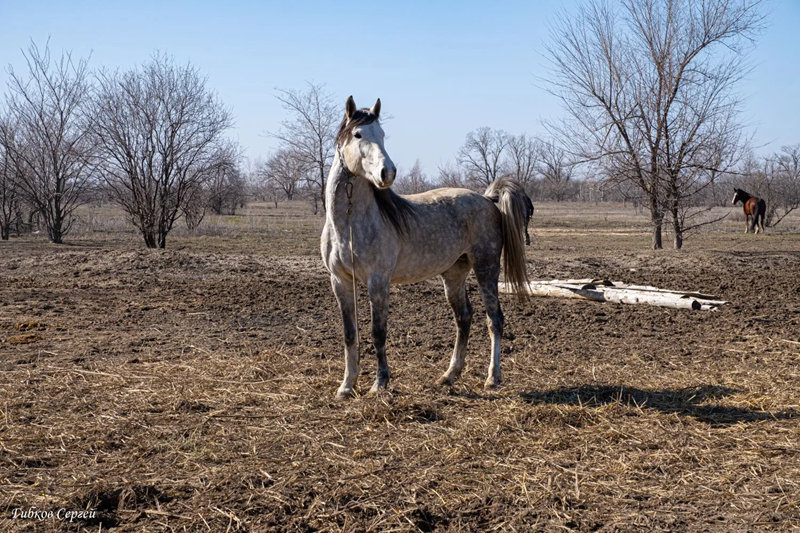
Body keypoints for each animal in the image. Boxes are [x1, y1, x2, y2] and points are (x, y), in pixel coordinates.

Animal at [321, 96, 530, 399]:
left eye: (382, 134)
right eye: (358, 134)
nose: (388, 172)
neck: (348, 223)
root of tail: (487, 199)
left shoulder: (377, 281)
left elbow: (377, 332)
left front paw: (380, 383)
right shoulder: (340, 281)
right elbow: (350, 334)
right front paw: (347, 386)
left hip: (486, 268)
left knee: (495, 320)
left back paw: (492, 378)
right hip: (454, 275)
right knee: (463, 319)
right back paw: (449, 376)